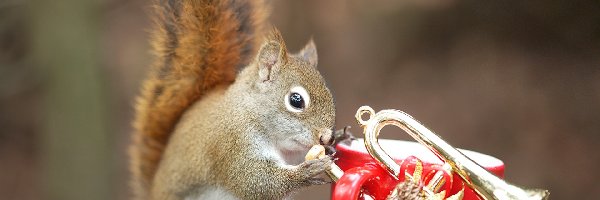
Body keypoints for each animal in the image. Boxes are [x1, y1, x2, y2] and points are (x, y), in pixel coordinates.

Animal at [129, 0, 342, 200]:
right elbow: (255, 182)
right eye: (296, 100)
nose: (326, 137)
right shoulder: (233, 147)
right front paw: (306, 172)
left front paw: (337, 140)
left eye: (328, 91)